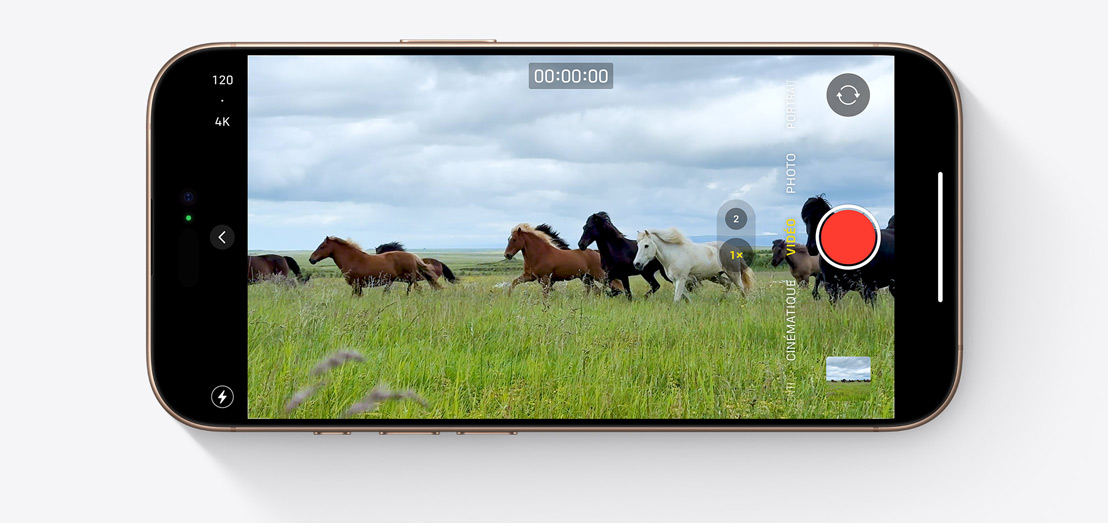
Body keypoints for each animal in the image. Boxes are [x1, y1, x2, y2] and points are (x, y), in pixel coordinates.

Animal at [308, 236, 440, 296]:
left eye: (322, 247)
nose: (311, 259)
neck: (352, 259)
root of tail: (413, 256)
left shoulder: (356, 285)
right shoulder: (358, 286)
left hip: (409, 276)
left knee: (417, 287)